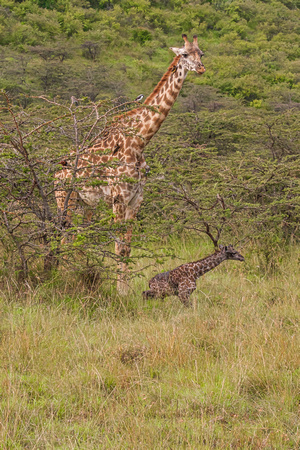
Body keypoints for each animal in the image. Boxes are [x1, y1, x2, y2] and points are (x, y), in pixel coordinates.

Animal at [55, 36, 206, 292]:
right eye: (185, 54)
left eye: (202, 53)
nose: (201, 68)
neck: (139, 141)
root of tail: (55, 170)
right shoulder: (119, 197)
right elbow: (118, 246)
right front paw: (120, 291)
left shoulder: (137, 199)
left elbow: (127, 247)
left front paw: (125, 290)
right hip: (65, 198)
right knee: (65, 235)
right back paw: (64, 276)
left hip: (86, 204)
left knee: (77, 236)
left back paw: (76, 273)